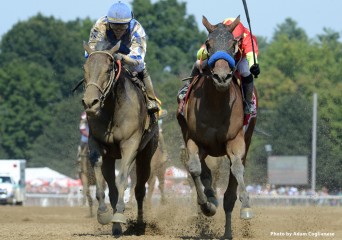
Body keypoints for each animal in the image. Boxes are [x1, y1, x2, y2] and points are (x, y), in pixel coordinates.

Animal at [176, 15, 256, 239]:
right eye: (208, 44)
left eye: (233, 44)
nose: (221, 77)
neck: (216, 105)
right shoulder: (194, 140)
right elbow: (194, 168)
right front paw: (207, 204)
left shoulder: (236, 141)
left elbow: (237, 169)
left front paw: (246, 206)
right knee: (202, 170)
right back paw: (211, 196)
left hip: (248, 137)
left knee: (232, 183)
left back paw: (228, 231)